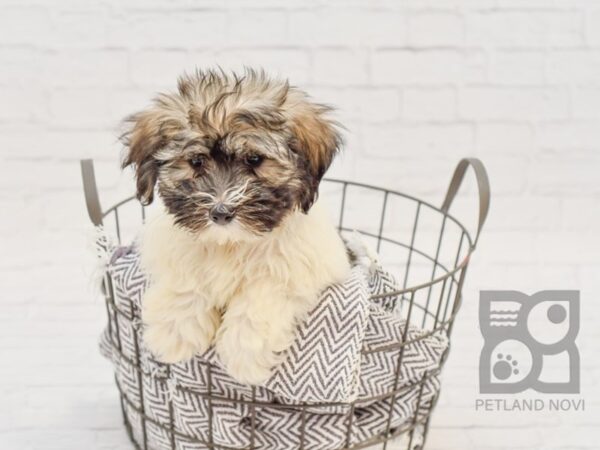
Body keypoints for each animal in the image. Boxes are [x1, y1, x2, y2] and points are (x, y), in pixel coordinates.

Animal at [119, 68, 350, 384]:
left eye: (254, 159)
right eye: (196, 161)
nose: (221, 212)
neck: (230, 243)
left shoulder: (300, 267)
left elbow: (263, 294)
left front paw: (244, 356)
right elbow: (186, 278)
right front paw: (175, 333)